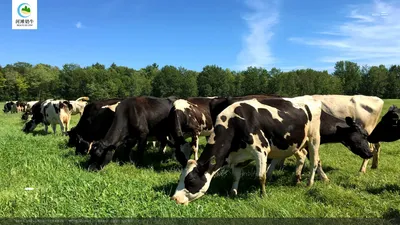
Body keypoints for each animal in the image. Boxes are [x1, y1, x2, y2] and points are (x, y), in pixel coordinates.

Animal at [171, 96, 324, 205]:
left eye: (191, 181)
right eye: (180, 178)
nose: (174, 199)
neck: (234, 123)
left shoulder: (260, 150)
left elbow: (260, 176)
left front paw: (263, 195)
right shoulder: (238, 157)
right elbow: (235, 176)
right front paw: (233, 193)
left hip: (313, 139)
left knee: (314, 161)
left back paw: (309, 183)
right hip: (294, 144)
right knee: (302, 155)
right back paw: (297, 179)